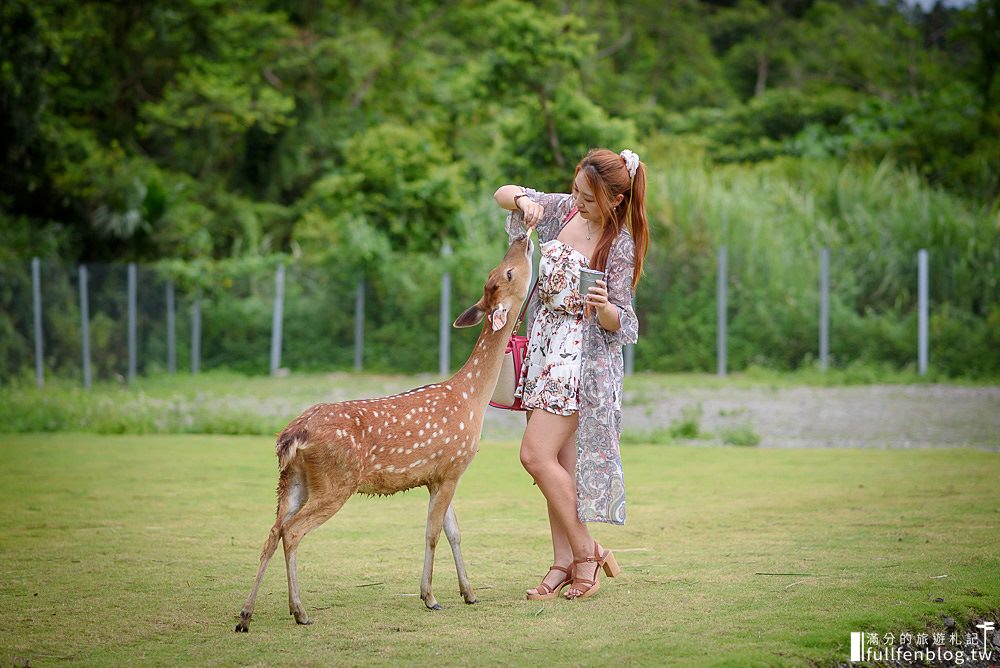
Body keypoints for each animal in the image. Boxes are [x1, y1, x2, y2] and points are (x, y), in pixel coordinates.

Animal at [234, 235, 536, 632]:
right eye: (508, 272)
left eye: (496, 272)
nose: (522, 238)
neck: (471, 398)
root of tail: (292, 435)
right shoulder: (453, 467)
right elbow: (433, 532)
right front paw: (430, 597)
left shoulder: (439, 474)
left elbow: (453, 530)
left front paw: (469, 593)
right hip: (335, 481)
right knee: (292, 531)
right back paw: (299, 611)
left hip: (292, 480)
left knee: (272, 532)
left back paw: (245, 615)